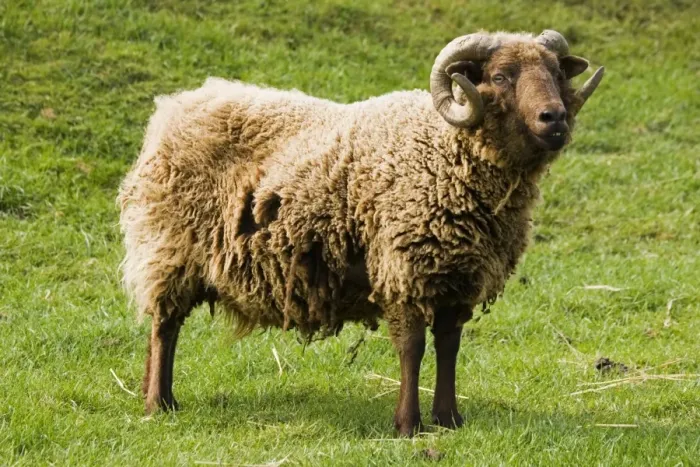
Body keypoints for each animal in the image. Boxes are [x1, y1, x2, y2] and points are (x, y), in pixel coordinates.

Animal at [118, 29, 604, 436]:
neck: (446, 150)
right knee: (164, 326)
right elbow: (412, 348)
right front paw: (407, 426)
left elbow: (449, 347)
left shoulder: (458, 277)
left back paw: (154, 394)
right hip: (171, 246)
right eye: (501, 76)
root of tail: (175, 106)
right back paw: (159, 403)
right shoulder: (404, 268)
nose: (555, 118)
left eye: (556, 73)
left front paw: (449, 420)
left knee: (161, 329)